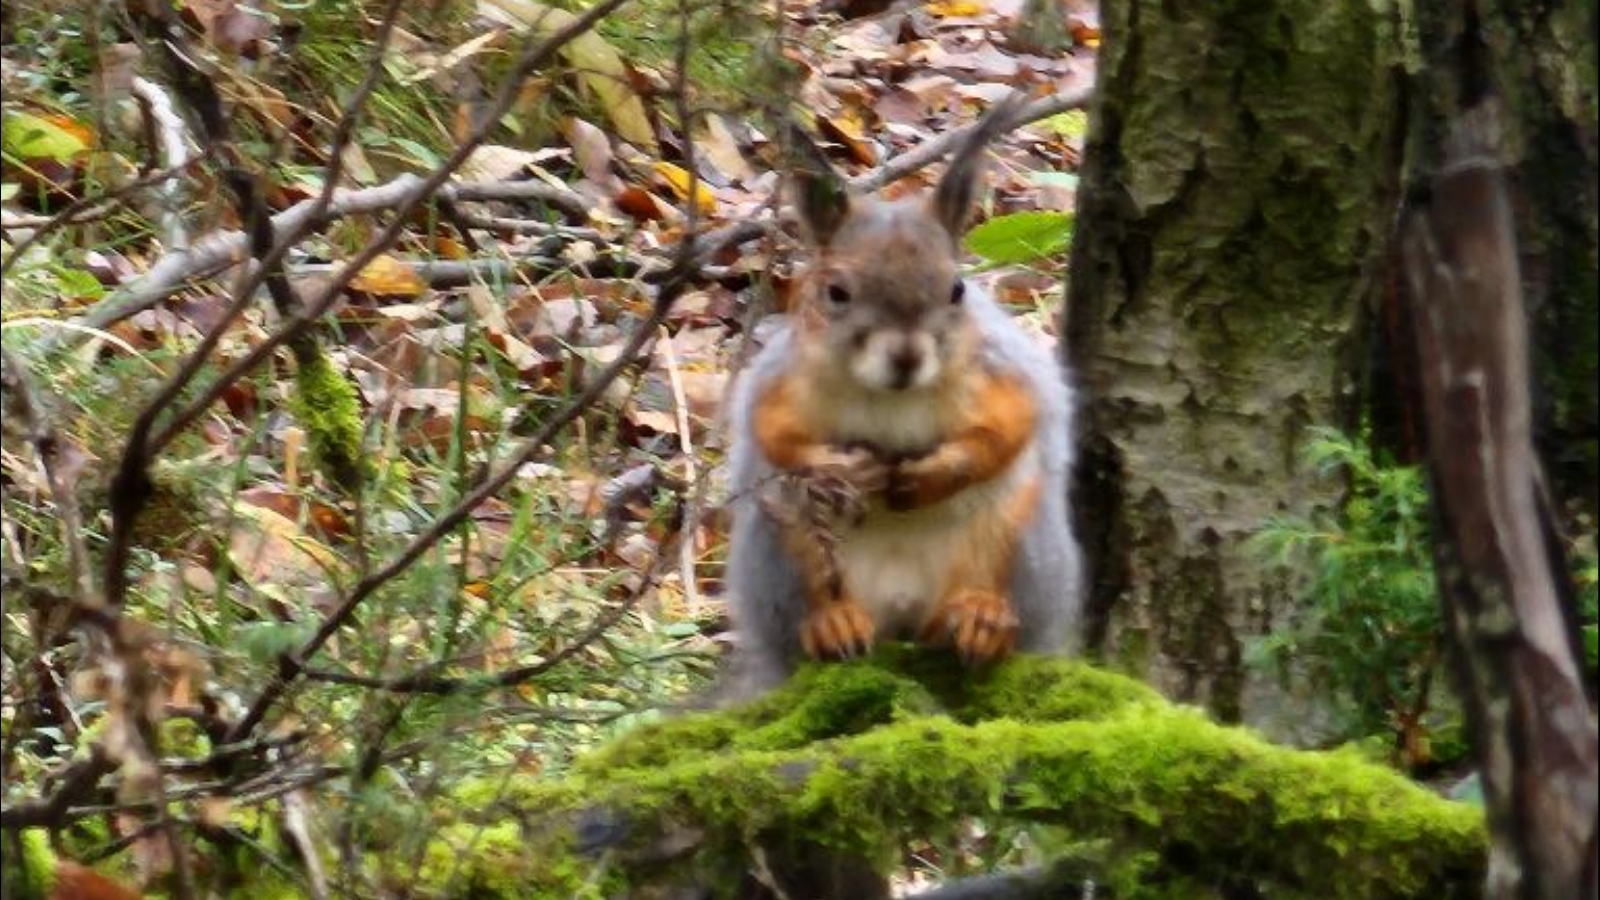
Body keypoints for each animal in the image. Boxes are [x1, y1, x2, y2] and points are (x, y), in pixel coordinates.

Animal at [726, 96, 1088, 685]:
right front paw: (846, 468)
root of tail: (902, 615)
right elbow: (775, 435)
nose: (906, 357)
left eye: (957, 290)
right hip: (786, 544)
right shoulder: (781, 383)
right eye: (835, 292)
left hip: (1013, 539)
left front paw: (933, 473)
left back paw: (978, 619)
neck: (890, 397)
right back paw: (834, 624)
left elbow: (1010, 426)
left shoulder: (1003, 373)